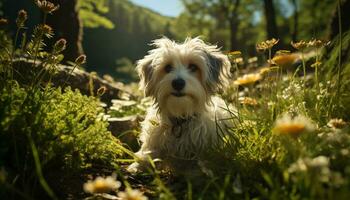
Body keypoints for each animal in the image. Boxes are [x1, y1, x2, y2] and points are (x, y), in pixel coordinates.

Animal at [129, 37, 232, 173]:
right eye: (167, 68)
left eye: (193, 67)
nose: (178, 83)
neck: (180, 119)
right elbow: (148, 154)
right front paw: (136, 166)